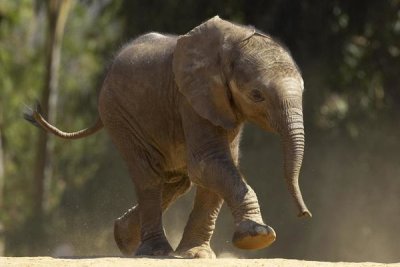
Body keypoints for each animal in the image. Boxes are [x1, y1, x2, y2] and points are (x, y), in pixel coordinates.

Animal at [25, 16, 312, 260]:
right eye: (256, 95)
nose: (304, 214)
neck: (235, 41)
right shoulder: (191, 97)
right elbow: (208, 163)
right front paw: (258, 237)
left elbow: (218, 166)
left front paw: (196, 255)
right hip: (119, 115)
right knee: (149, 176)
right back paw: (153, 251)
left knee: (175, 180)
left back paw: (124, 239)